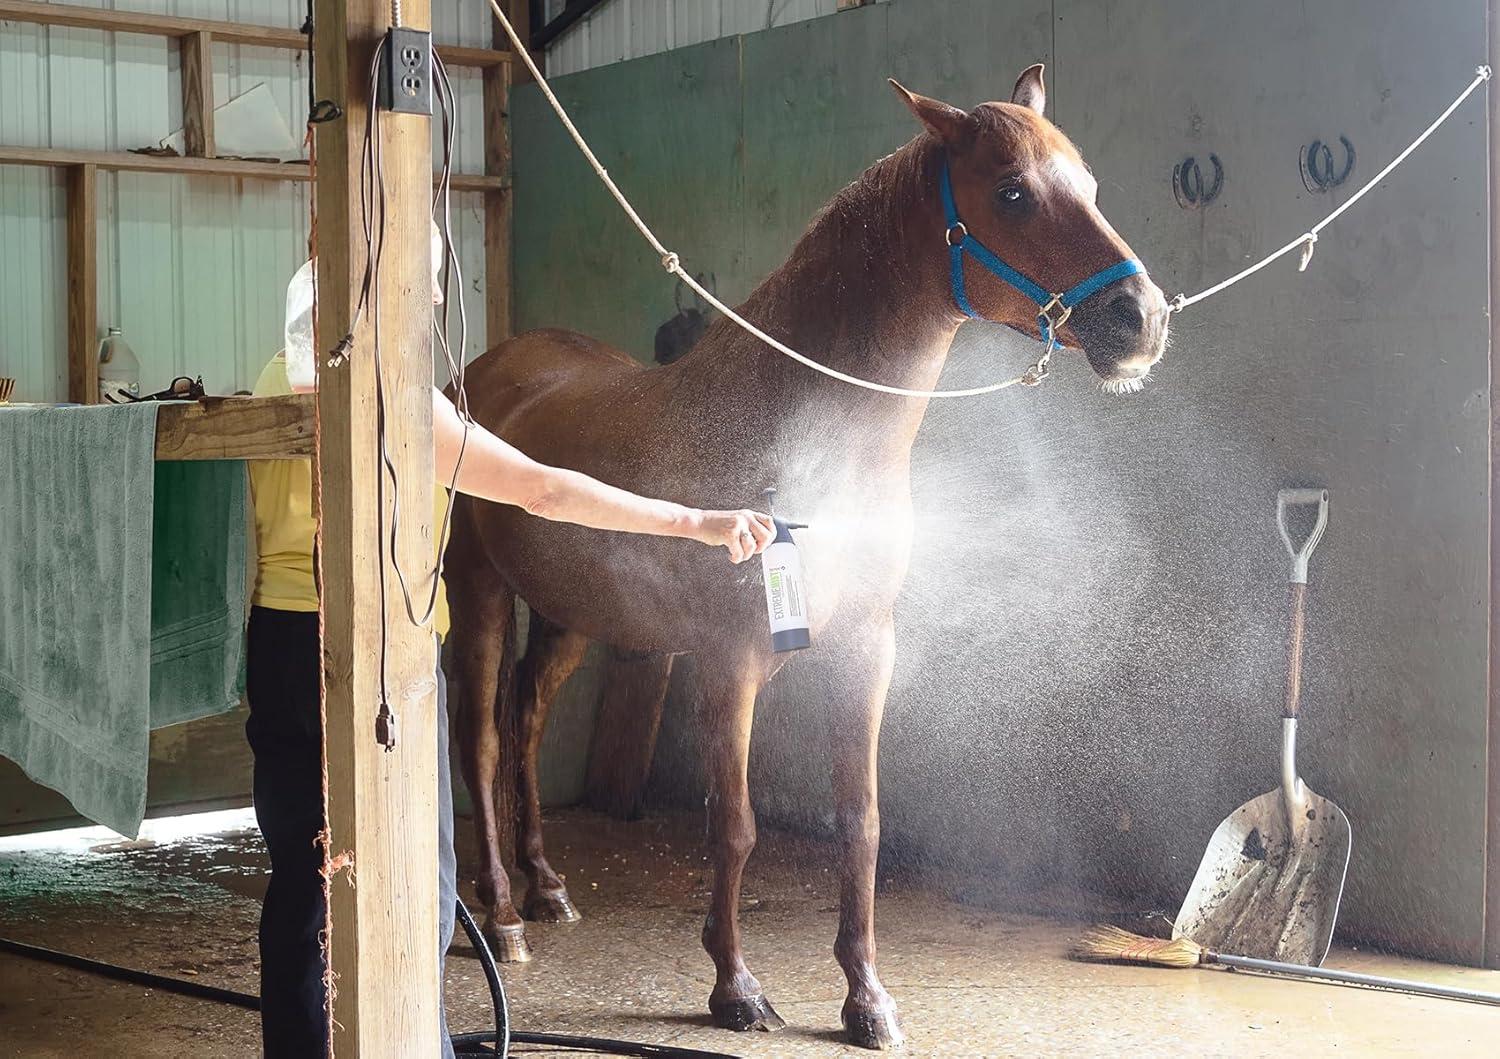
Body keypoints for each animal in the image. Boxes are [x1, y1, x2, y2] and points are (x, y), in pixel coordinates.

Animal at [445, 66, 1169, 1050]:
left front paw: (867, 997)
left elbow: (860, 822)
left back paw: (549, 887)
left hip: (569, 618)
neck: (800, 435)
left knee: (522, 721)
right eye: (1013, 192)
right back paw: (504, 915)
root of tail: (485, 372)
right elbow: (735, 825)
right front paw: (736, 986)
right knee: (479, 738)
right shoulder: (729, 661)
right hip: (479, 593)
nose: (1142, 320)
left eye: (1089, 185)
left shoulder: (867, 647)